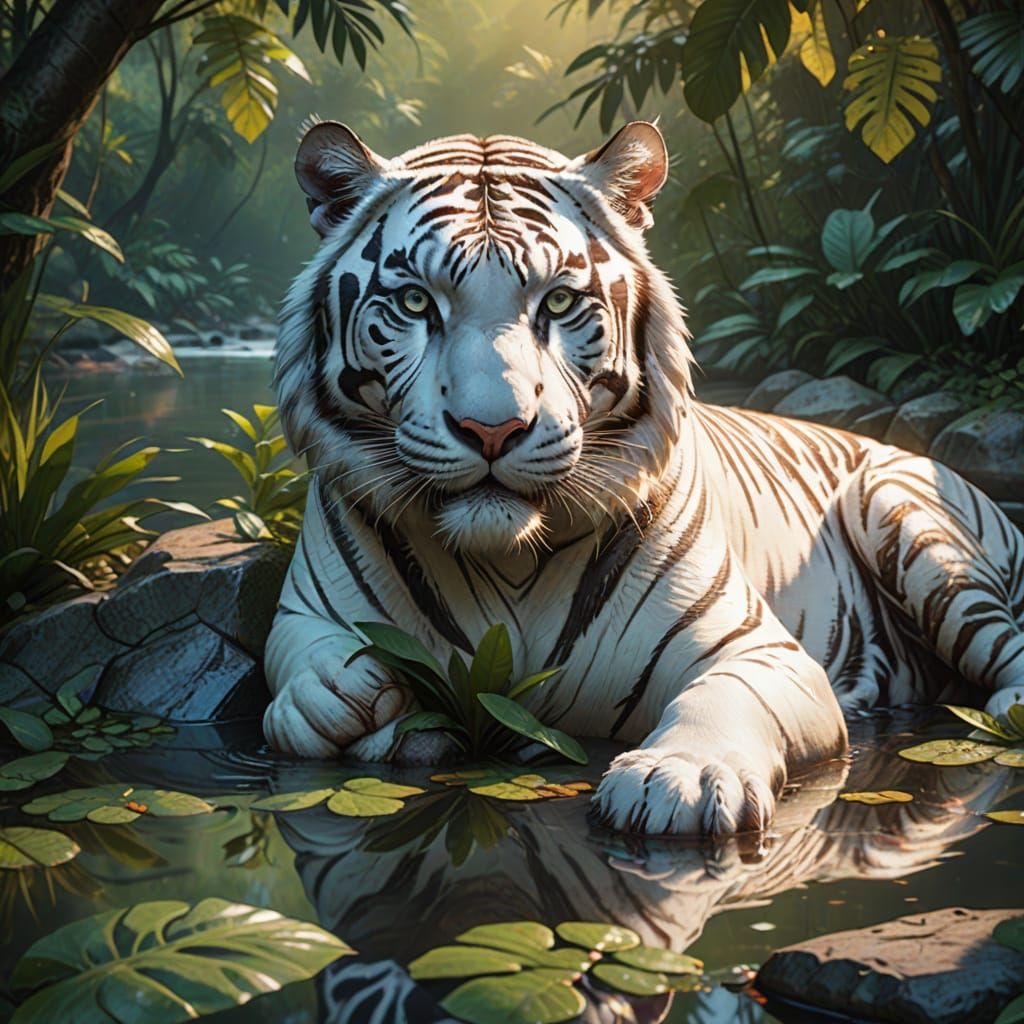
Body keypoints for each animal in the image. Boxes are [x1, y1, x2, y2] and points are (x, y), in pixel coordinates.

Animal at [263, 117, 1024, 836]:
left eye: (558, 303)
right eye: (417, 304)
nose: (493, 430)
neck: (507, 561)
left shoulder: (760, 648)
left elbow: (722, 699)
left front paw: (681, 778)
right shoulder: (306, 613)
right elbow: (299, 684)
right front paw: (352, 695)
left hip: (904, 513)